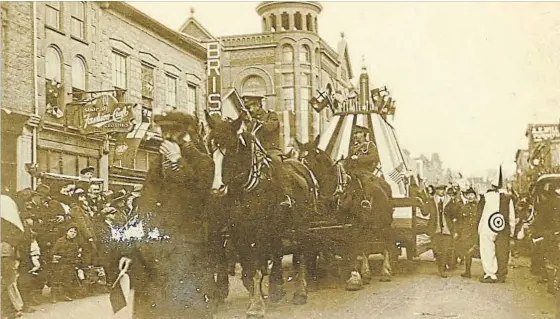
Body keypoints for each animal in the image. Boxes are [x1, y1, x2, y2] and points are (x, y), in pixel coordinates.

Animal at [205, 114, 316, 318]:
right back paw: (275, 287)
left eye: (231, 148)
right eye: (211, 146)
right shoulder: (237, 232)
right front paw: (256, 298)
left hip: (300, 225)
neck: (245, 190)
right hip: (279, 226)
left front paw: (256, 305)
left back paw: (299, 291)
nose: (217, 189)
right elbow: (248, 268)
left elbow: (257, 265)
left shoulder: (261, 231)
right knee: (278, 251)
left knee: (299, 254)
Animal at [290, 136, 396, 292]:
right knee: (365, 245)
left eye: (310, 159)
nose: (301, 182)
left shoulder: (351, 224)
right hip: (366, 224)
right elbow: (331, 249)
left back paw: (385, 271)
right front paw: (334, 275)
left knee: (386, 242)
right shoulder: (330, 226)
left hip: (383, 223)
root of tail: (385, 185)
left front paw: (354, 278)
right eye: (298, 158)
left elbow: (352, 248)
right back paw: (366, 273)